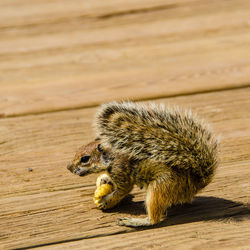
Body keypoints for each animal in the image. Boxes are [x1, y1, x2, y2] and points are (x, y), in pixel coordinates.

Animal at [67, 101, 218, 227]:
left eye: (85, 159)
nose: (69, 167)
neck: (112, 155)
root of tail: (196, 182)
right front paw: (105, 180)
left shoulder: (121, 169)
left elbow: (123, 189)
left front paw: (106, 201)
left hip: (162, 186)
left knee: (154, 217)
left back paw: (137, 221)